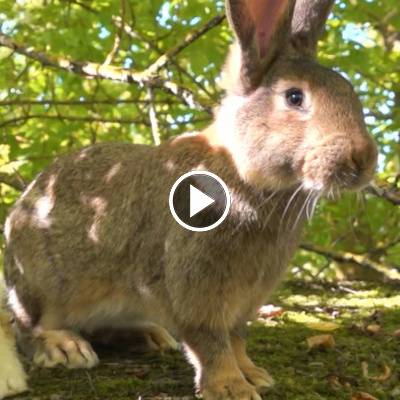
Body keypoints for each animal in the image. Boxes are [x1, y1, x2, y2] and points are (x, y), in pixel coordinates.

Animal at [1, 0, 376, 400]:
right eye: (294, 97)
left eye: (350, 91)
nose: (363, 159)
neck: (239, 168)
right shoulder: (195, 287)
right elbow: (210, 342)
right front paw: (232, 387)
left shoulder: (246, 299)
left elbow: (236, 338)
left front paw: (253, 374)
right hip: (42, 284)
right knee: (28, 327)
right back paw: (64, 347)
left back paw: (147, 336)